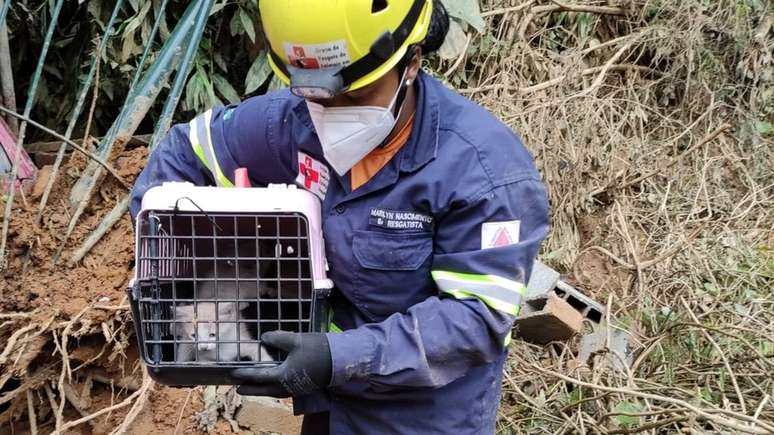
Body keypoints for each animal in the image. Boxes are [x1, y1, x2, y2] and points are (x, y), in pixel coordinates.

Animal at [126, 179, 330, 386]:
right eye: (194, 335)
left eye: (213, 334)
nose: (204, 346)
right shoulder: (197, 352)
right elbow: (193, 359)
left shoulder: (247, 343)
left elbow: (262, 355)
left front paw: (271, 369)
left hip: (252, 287)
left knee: (262, 290)